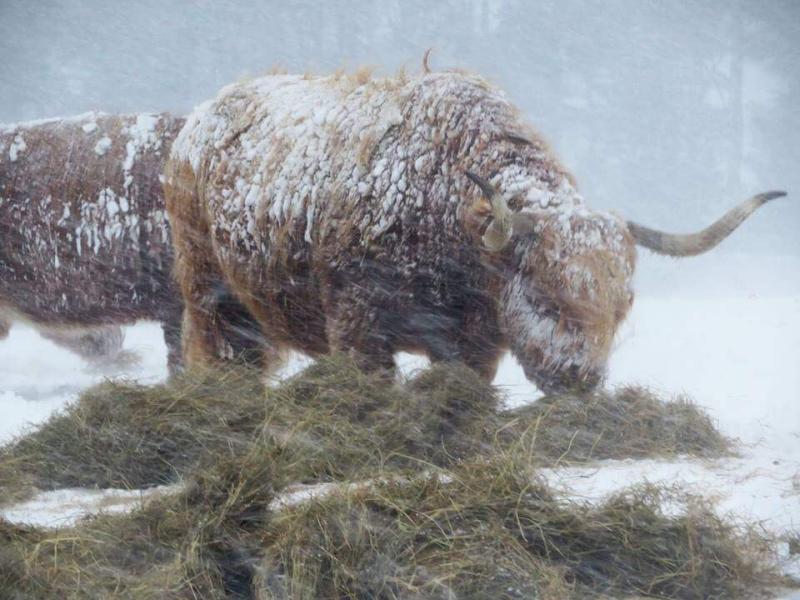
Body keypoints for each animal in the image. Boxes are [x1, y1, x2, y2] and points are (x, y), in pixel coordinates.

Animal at [164, 70, 788, 392]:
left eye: (623, 306)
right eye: (546, 293)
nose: (581, 378)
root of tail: (197, 123)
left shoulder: (478, 343)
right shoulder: (357, 324)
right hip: (206, 288)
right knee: (214, 352)